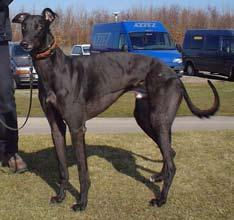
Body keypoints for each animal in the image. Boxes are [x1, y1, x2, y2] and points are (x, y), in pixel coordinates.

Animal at [13, 9, 219, 211]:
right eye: (24, 26)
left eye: (39, 26)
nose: (24, 44)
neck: (54, 69)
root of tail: (174, 75)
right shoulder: (56, 127)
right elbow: (62, 168)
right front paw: (61, 196)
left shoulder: (76, 127)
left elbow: (82, 170)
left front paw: (82, 202)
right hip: (146, 118)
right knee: (170, 152)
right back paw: (158, 177)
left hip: (158, 120)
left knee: (172, 164)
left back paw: (161, 199)